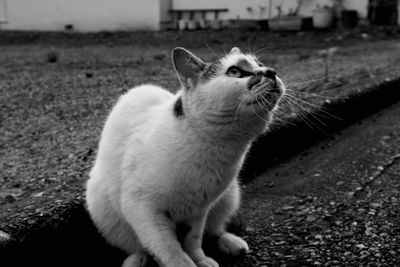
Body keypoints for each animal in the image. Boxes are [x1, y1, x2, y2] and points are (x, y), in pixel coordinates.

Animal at [85, 47, 284, 266]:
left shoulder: (199, 209)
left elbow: (193, 238)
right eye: (235, 72)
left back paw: (231, 243)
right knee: (137, 246)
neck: (214, 151)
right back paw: (136, 261)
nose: (271, 71)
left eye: (260, 64)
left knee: (214, 230)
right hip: (105, 211)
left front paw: (200, 259)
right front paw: (184, 262)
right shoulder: (142, 209)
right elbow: (169, 248)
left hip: (229, 196)